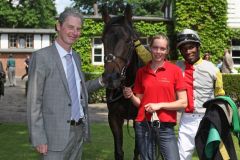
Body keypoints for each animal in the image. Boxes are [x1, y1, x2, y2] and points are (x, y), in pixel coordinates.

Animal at [101, 4, 142, 160]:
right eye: (102, 40)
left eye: (129, 41)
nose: (111, 78)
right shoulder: (114, 118)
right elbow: (119, 152)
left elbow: (138, 150)